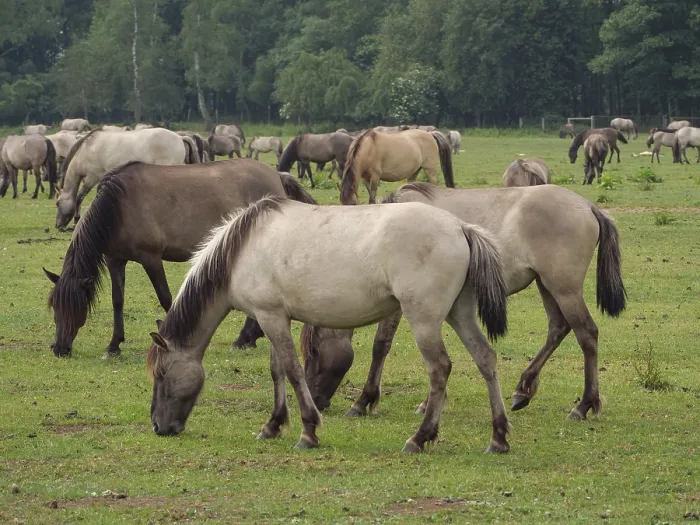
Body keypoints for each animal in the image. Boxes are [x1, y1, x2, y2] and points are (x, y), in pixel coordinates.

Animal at [44, 159, 316, 359]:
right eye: (55, 306)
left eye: (74, 307)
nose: (59, 349)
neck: (118, 206)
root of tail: (277, 175)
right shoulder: (115, 260)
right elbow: (117, 300)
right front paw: (114, 345)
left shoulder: (151, 258)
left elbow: (166, 298)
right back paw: (248, 338)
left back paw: (243, 338)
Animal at [55, 128, 192, 229]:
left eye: (57, 203)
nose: (58, 225)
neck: (88, 149)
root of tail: (179, 137)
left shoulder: (92, 177)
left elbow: (79, 197)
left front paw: (75, 221)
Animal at [146, 196, 510, 454]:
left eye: (162, 374)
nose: (158, 427)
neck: (241, 250)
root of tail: (461, 228)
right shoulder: (274, 317)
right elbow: (278, 371)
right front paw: (273, 425)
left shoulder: (270, 317)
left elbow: (293, 371)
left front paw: (308, 431)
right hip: (459, 314)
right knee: (485, 359)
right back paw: (498, 437)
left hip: (424, 321)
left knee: (440, 370)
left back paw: (419, 438)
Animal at [284, 183, 626, 421]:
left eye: (314, 351)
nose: (315, 400)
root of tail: (587, 206)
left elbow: (381, 345)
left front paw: (364, 401)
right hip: (547, 285)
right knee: (558, 328)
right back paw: (523, 390)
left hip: (563, 288)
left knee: (586, 334)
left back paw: (584, 405)